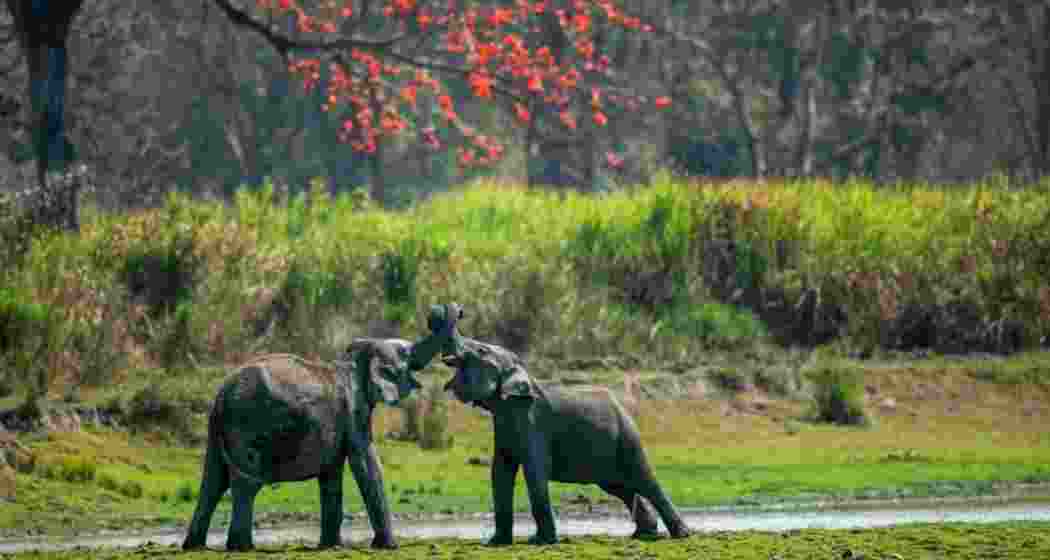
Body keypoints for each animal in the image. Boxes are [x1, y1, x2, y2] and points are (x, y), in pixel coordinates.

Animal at [182, 302, 461, 546]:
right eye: (405, 353)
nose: (448, 310)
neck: (355, 358)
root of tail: (221, 397)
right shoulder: (353, 409)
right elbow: (366, 464)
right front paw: (388, 547)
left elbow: (331, 475)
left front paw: (331, 546)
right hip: (246, 426)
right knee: (246, 484)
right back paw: (241, 547)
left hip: (217, 429)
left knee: (213, 483)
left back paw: (194, 546)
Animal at [440, 334, 688, 542]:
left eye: (481, 350)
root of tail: (623, 407)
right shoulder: (504, 424)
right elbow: (500, 472)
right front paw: (496, 543)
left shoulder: (533, 423)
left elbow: (535, 471)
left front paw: (541, 542)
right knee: (621, 487)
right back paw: (644, 534)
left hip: (627, 437)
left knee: (645, 481)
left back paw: (680, 534)